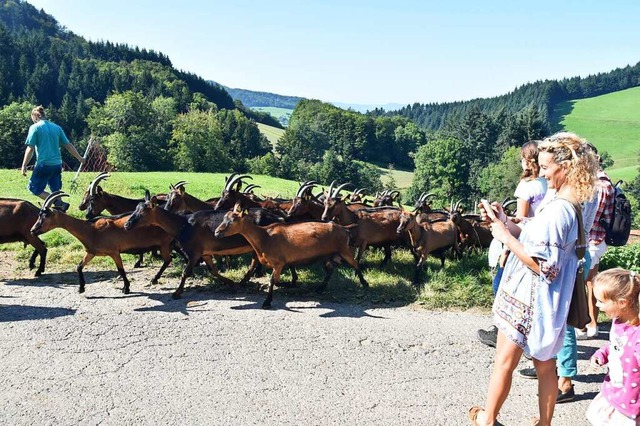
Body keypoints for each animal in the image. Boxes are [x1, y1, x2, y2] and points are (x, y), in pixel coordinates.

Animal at [32, 192, 175, 294]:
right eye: (38, 215)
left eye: (45, 216)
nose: (32, 230)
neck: (91, 230)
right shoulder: (91, 252)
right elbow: (79, 266)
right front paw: (81, 288)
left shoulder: (114, 252)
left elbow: (121, 270)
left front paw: (126, 288)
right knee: (169, 259)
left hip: (164, 243)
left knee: (168, 259)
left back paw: (154, 278)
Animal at [214, 204, 368, 308]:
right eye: (224, 218)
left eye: (233, 220)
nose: (217, 232)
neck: (265, 237)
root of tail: (343, 228)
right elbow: (277, 280)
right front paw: (290, 284)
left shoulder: (279, 263)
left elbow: (273, 281)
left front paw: (267, 301)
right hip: (328, 255)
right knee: (330, 270)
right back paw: (320, 288)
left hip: (344, 250)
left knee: (355, 264)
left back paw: (364, 283)